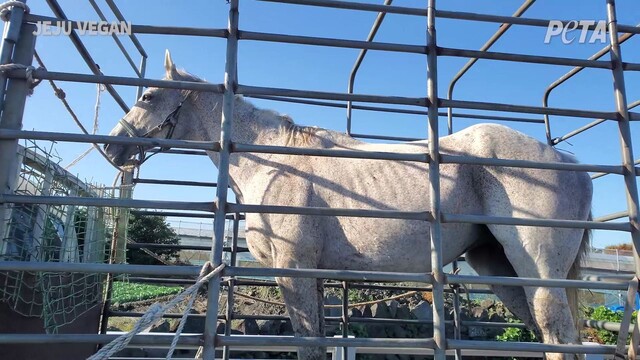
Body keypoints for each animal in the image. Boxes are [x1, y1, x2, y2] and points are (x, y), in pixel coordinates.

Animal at [104, 51, 592, 360]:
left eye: (147, 96)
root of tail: (571, 163)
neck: (275, 162)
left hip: (539, 270)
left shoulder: (294, 270)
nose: (112, 148)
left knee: (558, 334)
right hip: (500, 269)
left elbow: (308, 344)